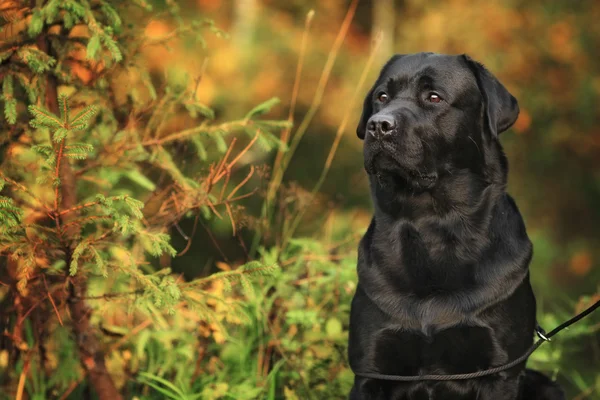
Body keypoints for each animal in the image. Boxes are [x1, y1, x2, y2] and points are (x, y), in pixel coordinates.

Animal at [350, 53, 564, 400]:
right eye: (381, 96)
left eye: (434, 97)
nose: (378, 125)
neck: (429, 223)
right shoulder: (371, 371)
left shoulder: (500, 372)